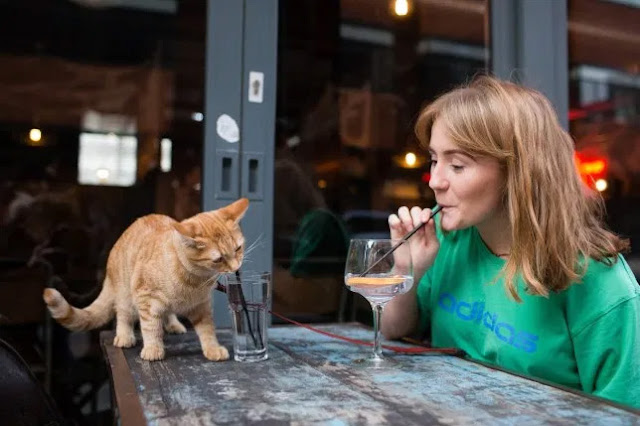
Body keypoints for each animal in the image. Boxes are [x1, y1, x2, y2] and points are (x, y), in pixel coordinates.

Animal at [43, 198, 250, 362]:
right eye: (218, 259)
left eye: (238, 248)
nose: (235, 267)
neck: (195, 281)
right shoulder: (146, 299)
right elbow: (151, 327)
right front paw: (153, 349)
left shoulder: (201, 306)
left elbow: (207, 329)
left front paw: (212, 348)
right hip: (126, 296)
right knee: (123, 315)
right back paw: (125, 336)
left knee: (167, 313)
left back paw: (173, 325)